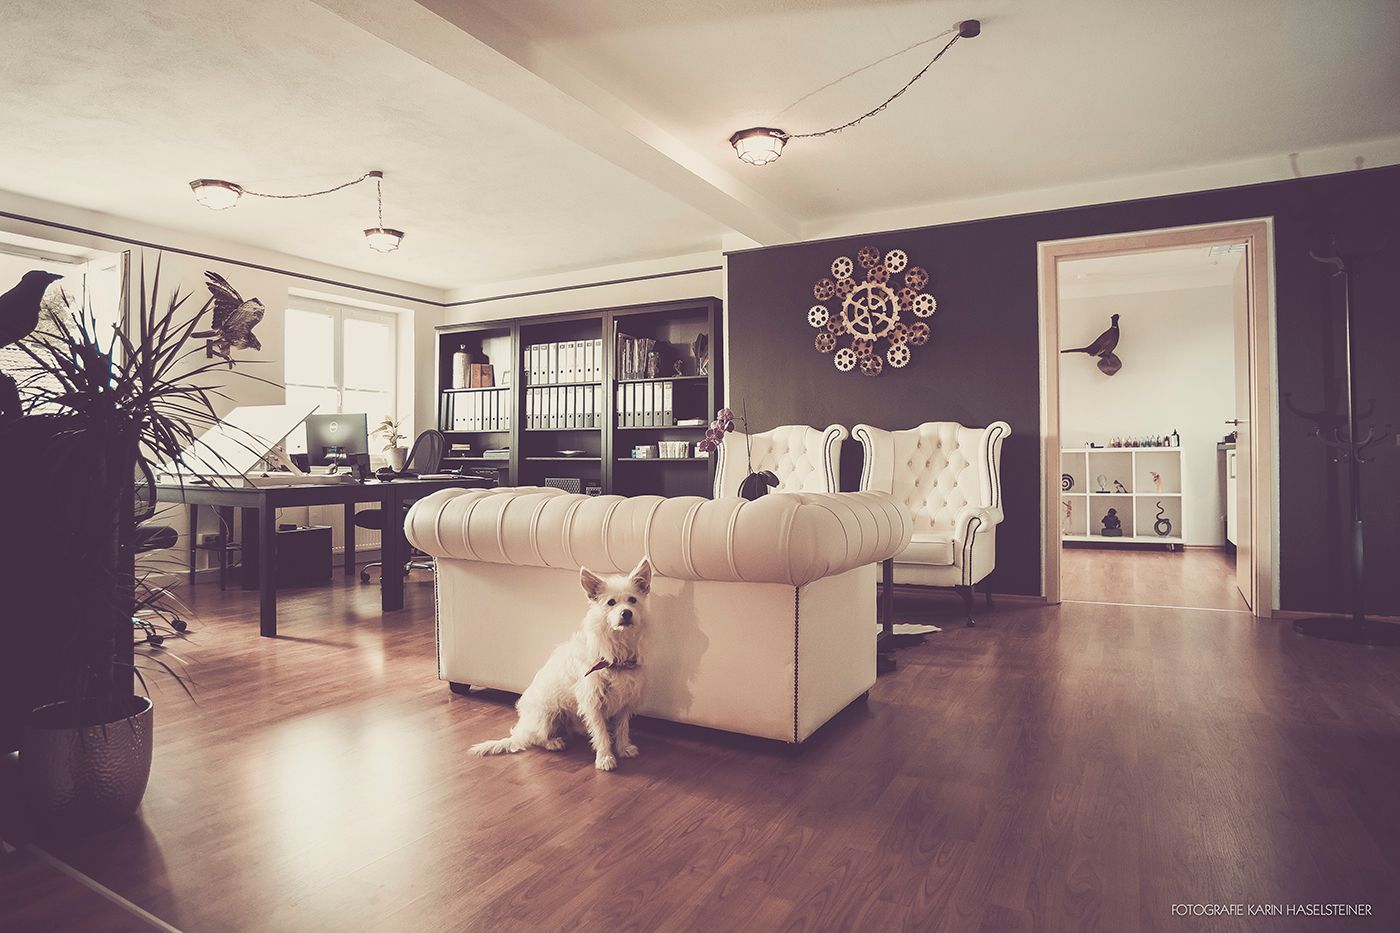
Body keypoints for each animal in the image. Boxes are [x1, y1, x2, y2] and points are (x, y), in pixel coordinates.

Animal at [464, 554, 649, 767]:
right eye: (611, 602)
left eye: (633, 600)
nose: (626, 613)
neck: (616, 652)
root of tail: (521, 730)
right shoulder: (592, 702)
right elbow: (601, 732)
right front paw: (605, 757)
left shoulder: (626, 701)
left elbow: (622, 727)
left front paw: (623, 747)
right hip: (547, 717)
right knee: (534, 739)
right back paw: (553, 742)